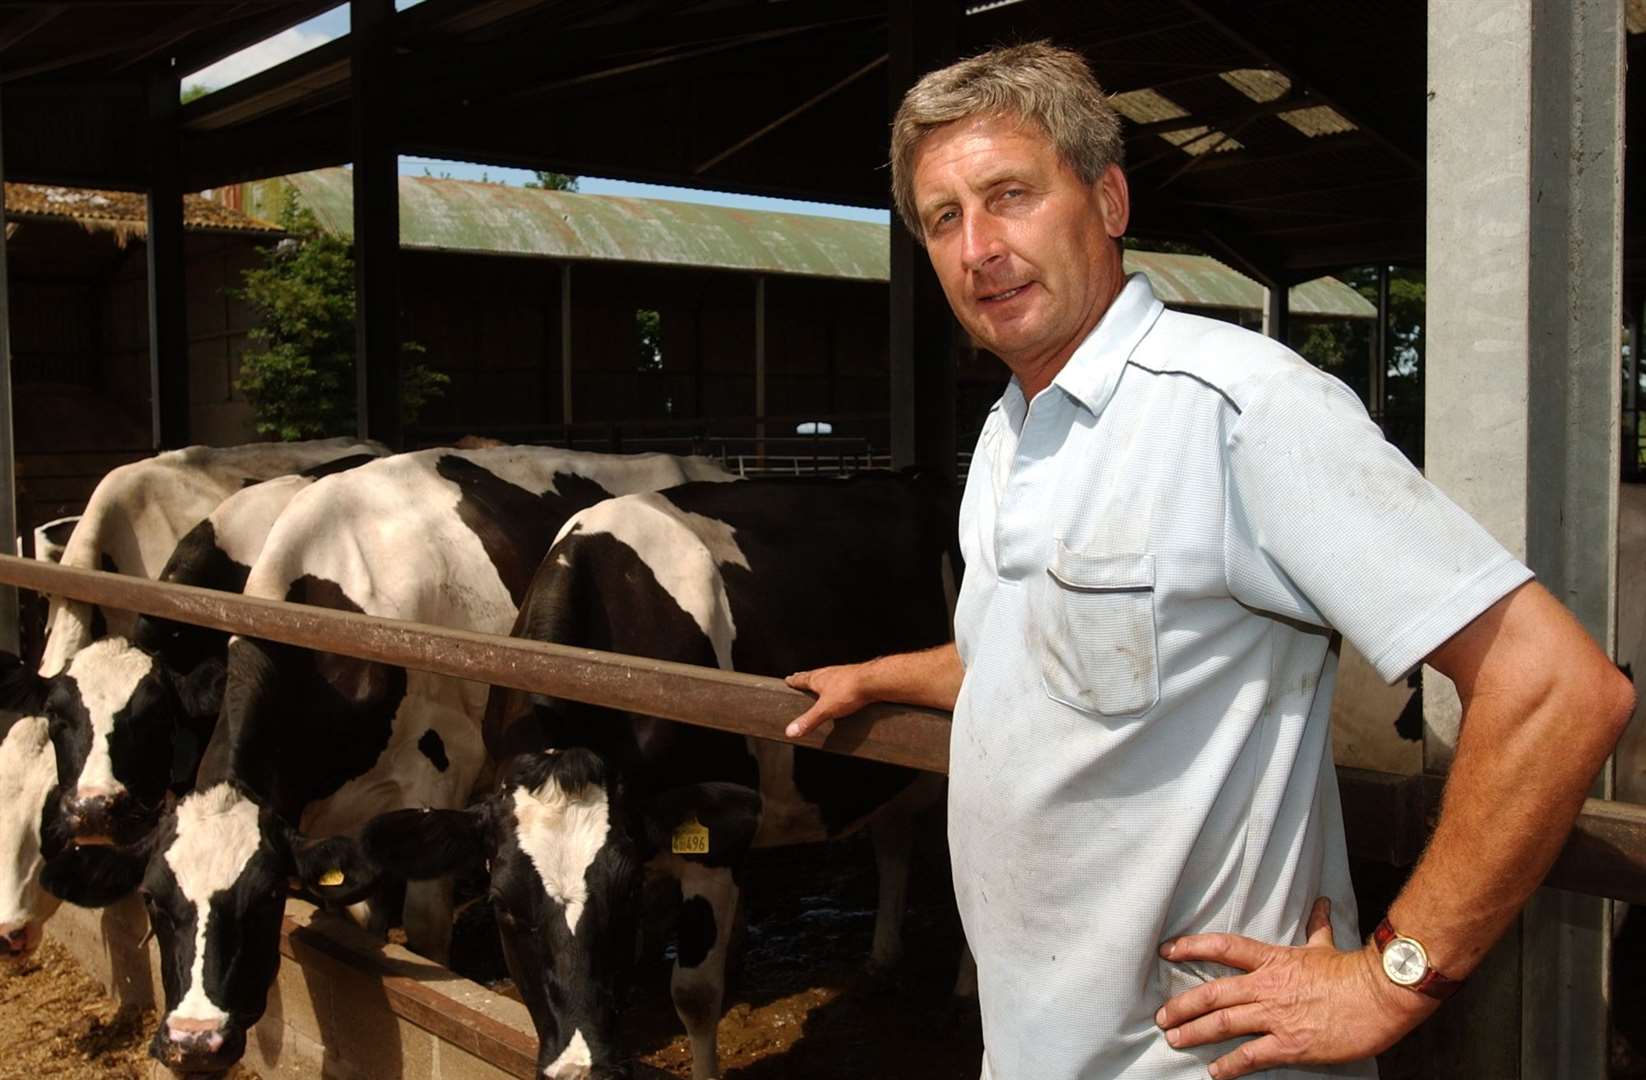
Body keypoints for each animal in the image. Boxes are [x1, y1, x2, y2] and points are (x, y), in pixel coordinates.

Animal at [358, 474, 954, 1080]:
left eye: (625, 894)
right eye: (501, 905)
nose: (581, 1068)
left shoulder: (713, 847)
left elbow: (694, 993)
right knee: (893, 835)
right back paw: (882, 957)